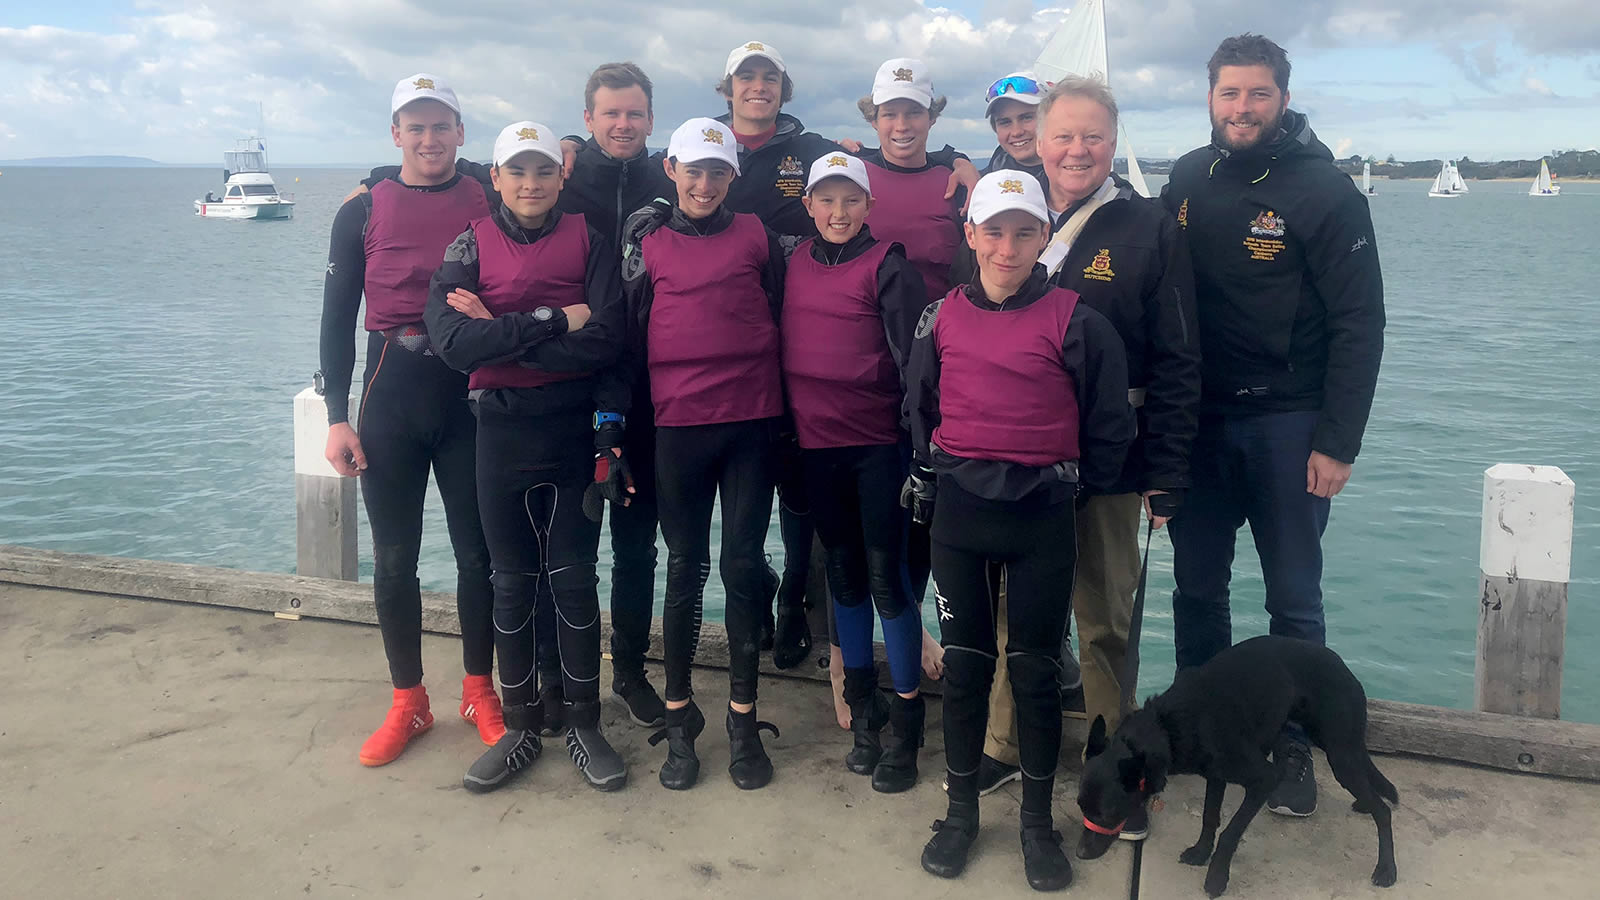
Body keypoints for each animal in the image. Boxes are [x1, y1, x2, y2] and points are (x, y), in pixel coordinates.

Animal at [1075, 634, 1401, 890]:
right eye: (1081, 807)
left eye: (1108, 814)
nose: (1079, 854)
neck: (1167, 726)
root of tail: (1346, 670)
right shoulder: (1216, 775)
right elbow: (1210, 817)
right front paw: (1200, 852)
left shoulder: (1264, 780)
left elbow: (1230, 833)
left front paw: (1216, 878)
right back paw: (1365, 805)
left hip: (1339, 755)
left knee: (1383, 811)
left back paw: (1386, 869)